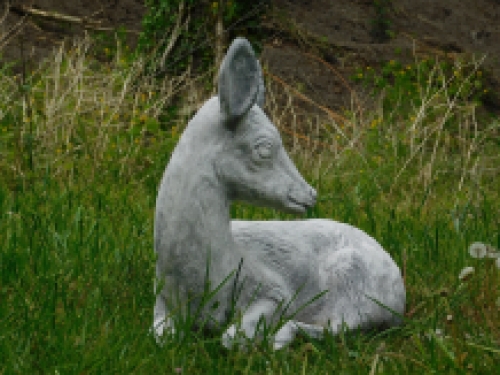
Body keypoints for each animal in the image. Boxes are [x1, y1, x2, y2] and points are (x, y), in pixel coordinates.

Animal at [153, 37, 406, 350]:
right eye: (264, 148)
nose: (310, 194)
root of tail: (399, 292)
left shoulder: (275, 290)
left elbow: (230, 338)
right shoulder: (161, 300)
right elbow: (161, 336)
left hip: (357, 287)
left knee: (337, 327)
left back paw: (279, 338)